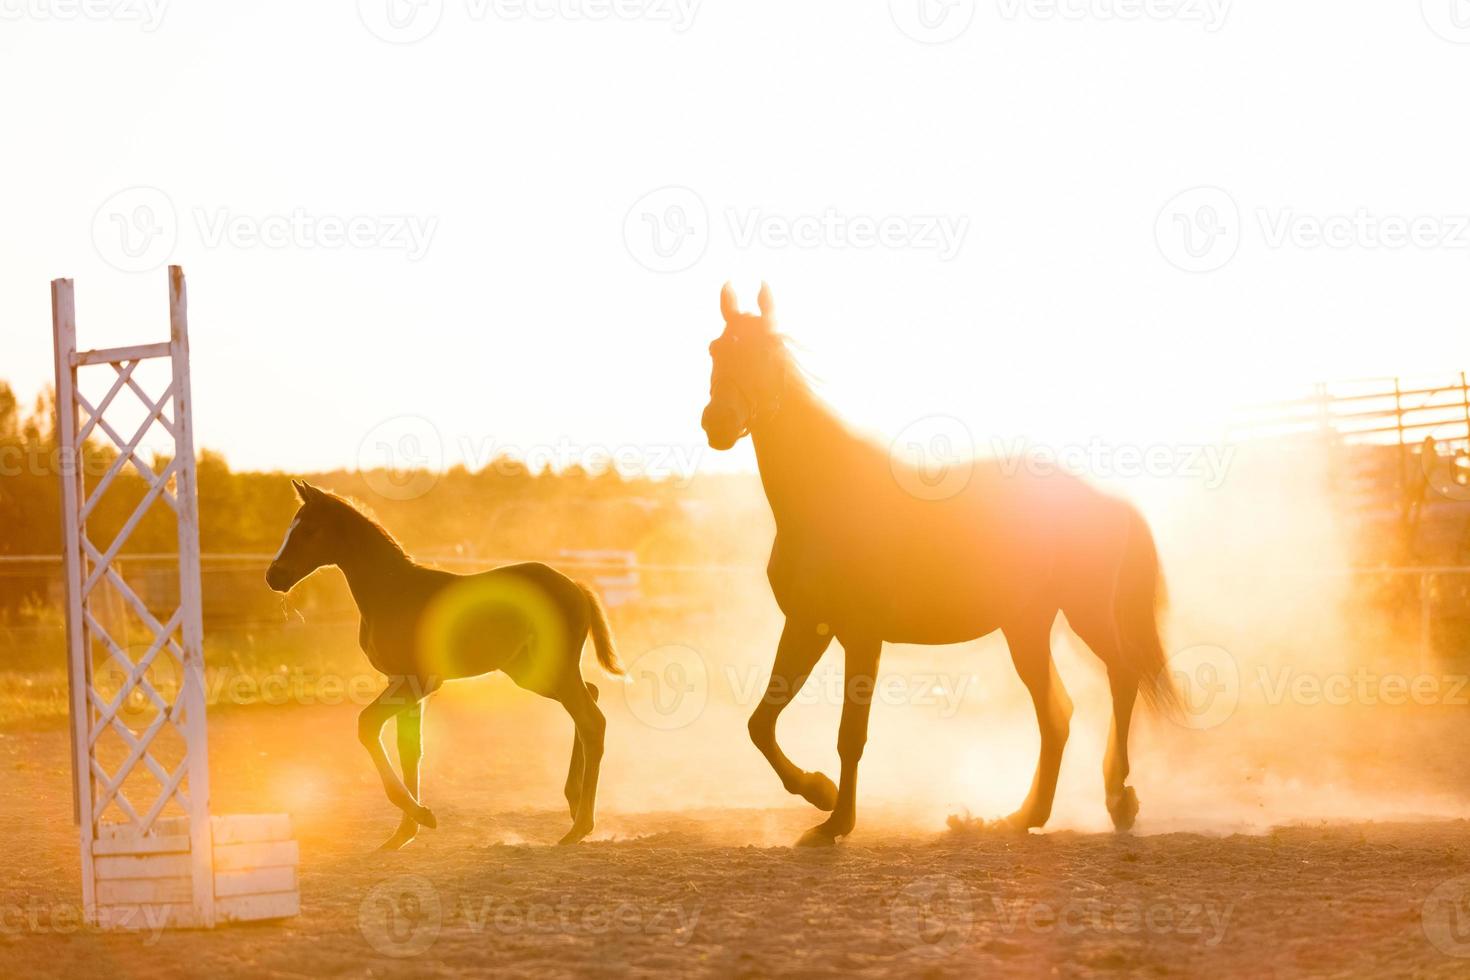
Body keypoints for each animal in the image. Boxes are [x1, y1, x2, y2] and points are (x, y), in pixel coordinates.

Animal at [264, 481, 620, 852]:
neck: (391, 591)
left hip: (552, 668)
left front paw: (421, 816)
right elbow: (409, 748)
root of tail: (575, 586)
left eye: (308, 529)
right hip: (531, 672)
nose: (274, 576)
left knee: (592, 721)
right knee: (590, 698)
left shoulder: (420, 682)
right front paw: (404, 832)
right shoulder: (400, 682)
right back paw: (573, 802)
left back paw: (580, 826)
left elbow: (368, 725)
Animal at [702, 282, 1181, 846]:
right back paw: (1022, 816)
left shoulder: (860, 636)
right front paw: (819, 793)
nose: (717, 423)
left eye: (765, 355)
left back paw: (1117, 800)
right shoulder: (807, 626)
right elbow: (761, 723)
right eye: (715, 350)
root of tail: (1109, 501)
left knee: (1121, 679)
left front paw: (836, 822)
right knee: (1057, 715)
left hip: (1084, 616)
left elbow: (850, 735)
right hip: (1026, 628)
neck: (829, 498)